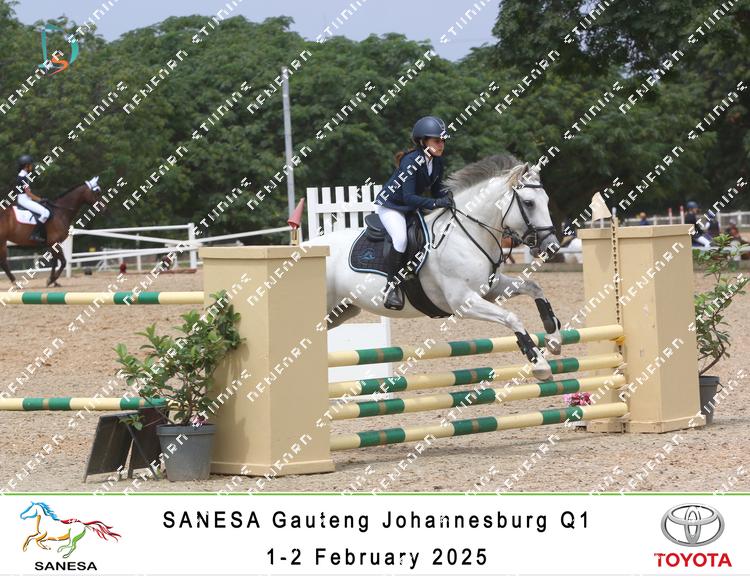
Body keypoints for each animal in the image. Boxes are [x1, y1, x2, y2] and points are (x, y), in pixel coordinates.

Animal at [308, 154, 564, 381]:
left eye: (547, 201)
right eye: (529, 203)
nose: (552, 247)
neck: (464, 234)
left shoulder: (491, 289)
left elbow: (534, 287)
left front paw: (554, 337)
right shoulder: (463, 302)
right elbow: (512, 317)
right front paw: (540, 364)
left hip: (341, 312)